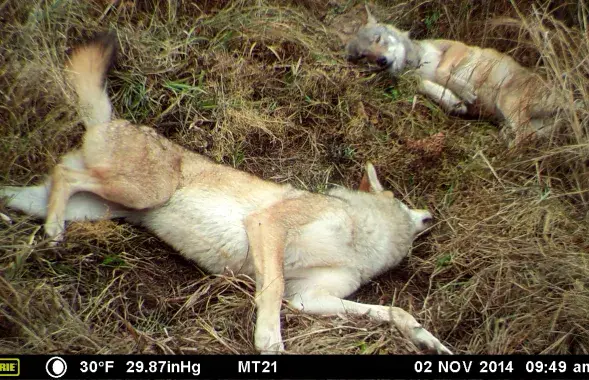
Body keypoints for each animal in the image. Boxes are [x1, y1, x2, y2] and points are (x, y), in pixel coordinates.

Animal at [0, 33, 452, 356]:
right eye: (401, 198)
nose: (432, 214)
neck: (361, 240)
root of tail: (114, 120)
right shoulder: (268, 227)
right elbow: (271, 292)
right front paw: (269, 344)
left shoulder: (309, 299)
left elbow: (391, 311)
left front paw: (427, 338)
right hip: (140, 193)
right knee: (63, 173)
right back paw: (53, 232)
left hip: (91, 207)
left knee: (37, 184)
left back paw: (25, 225)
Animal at [344, 4, 564, 147]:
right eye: (364, 57)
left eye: (378, 39)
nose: (381, 61)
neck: (417, 62)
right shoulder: (418, 80)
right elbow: (424, 84)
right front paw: (453, 101)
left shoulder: (456, 48)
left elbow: (442, 72)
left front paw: (464, 91)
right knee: (526, 137)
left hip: (508, 102)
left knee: (525, 137)